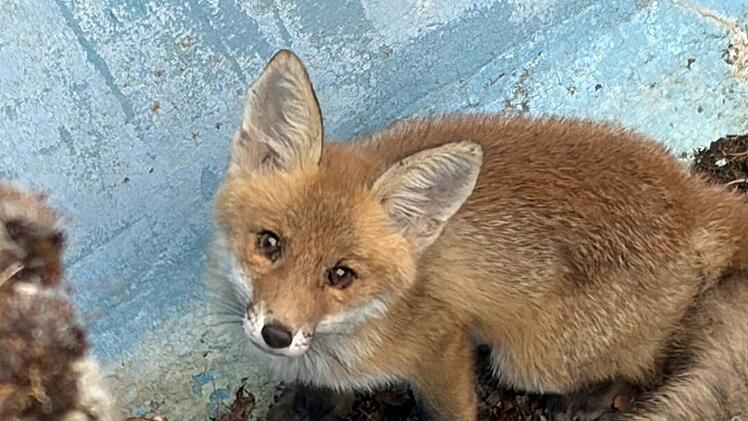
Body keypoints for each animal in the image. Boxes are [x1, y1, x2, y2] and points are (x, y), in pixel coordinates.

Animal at [207, 49, 748, 421]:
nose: (277, 334)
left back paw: (595, 399)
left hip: (531, 363)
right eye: (269, 243)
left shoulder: (443, 344)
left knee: (646, 369)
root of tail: (689, 192)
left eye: (341, 275)